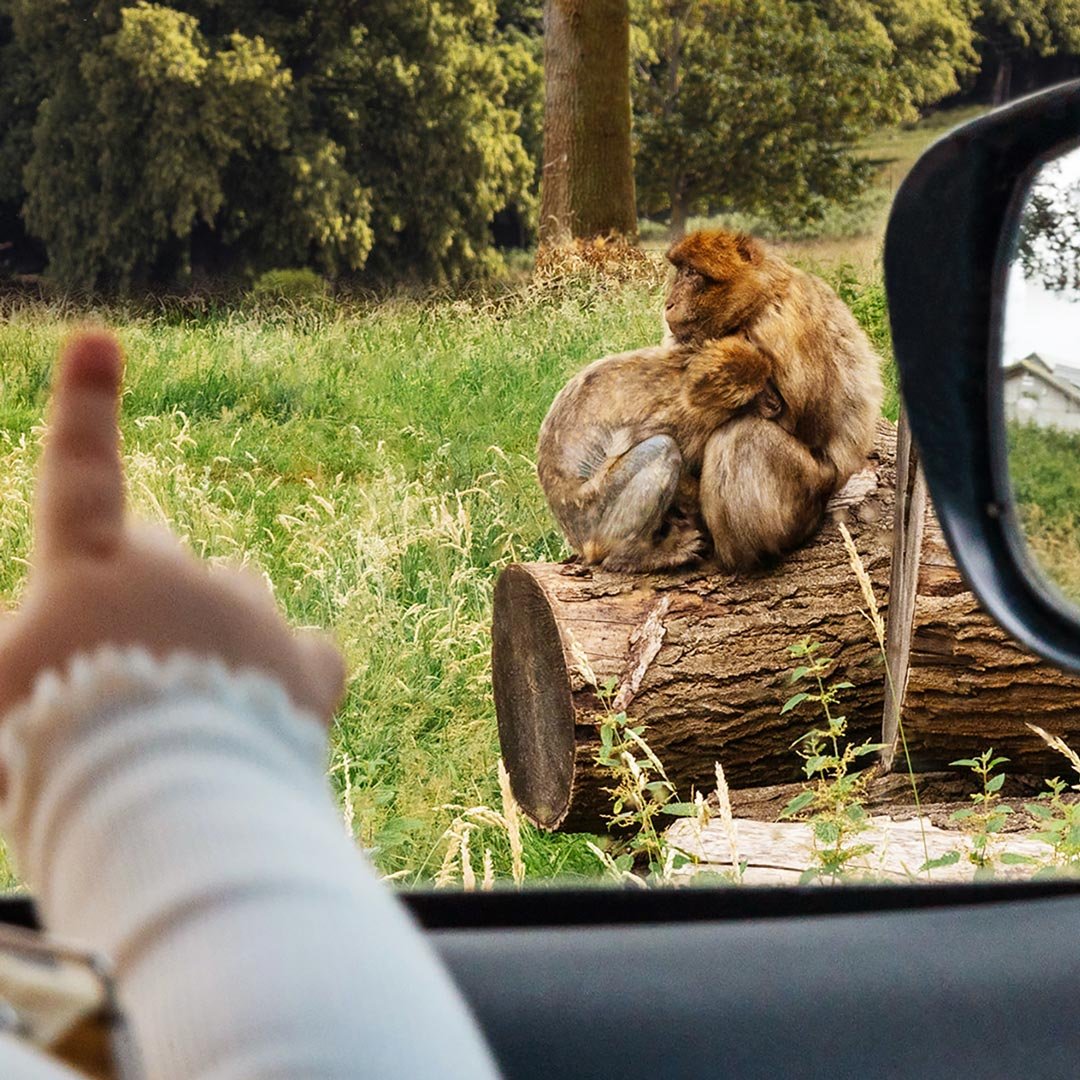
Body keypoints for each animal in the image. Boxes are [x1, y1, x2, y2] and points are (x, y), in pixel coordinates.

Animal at [536, 229, 883, 572]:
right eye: (682, 271)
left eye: (692, 274)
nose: (669, 303)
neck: (761, 297)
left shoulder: (779, 324)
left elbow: (809, 424)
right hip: (592, 516)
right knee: (665, 449)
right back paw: (631, 554)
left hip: (811, 491)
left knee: (739, 436)